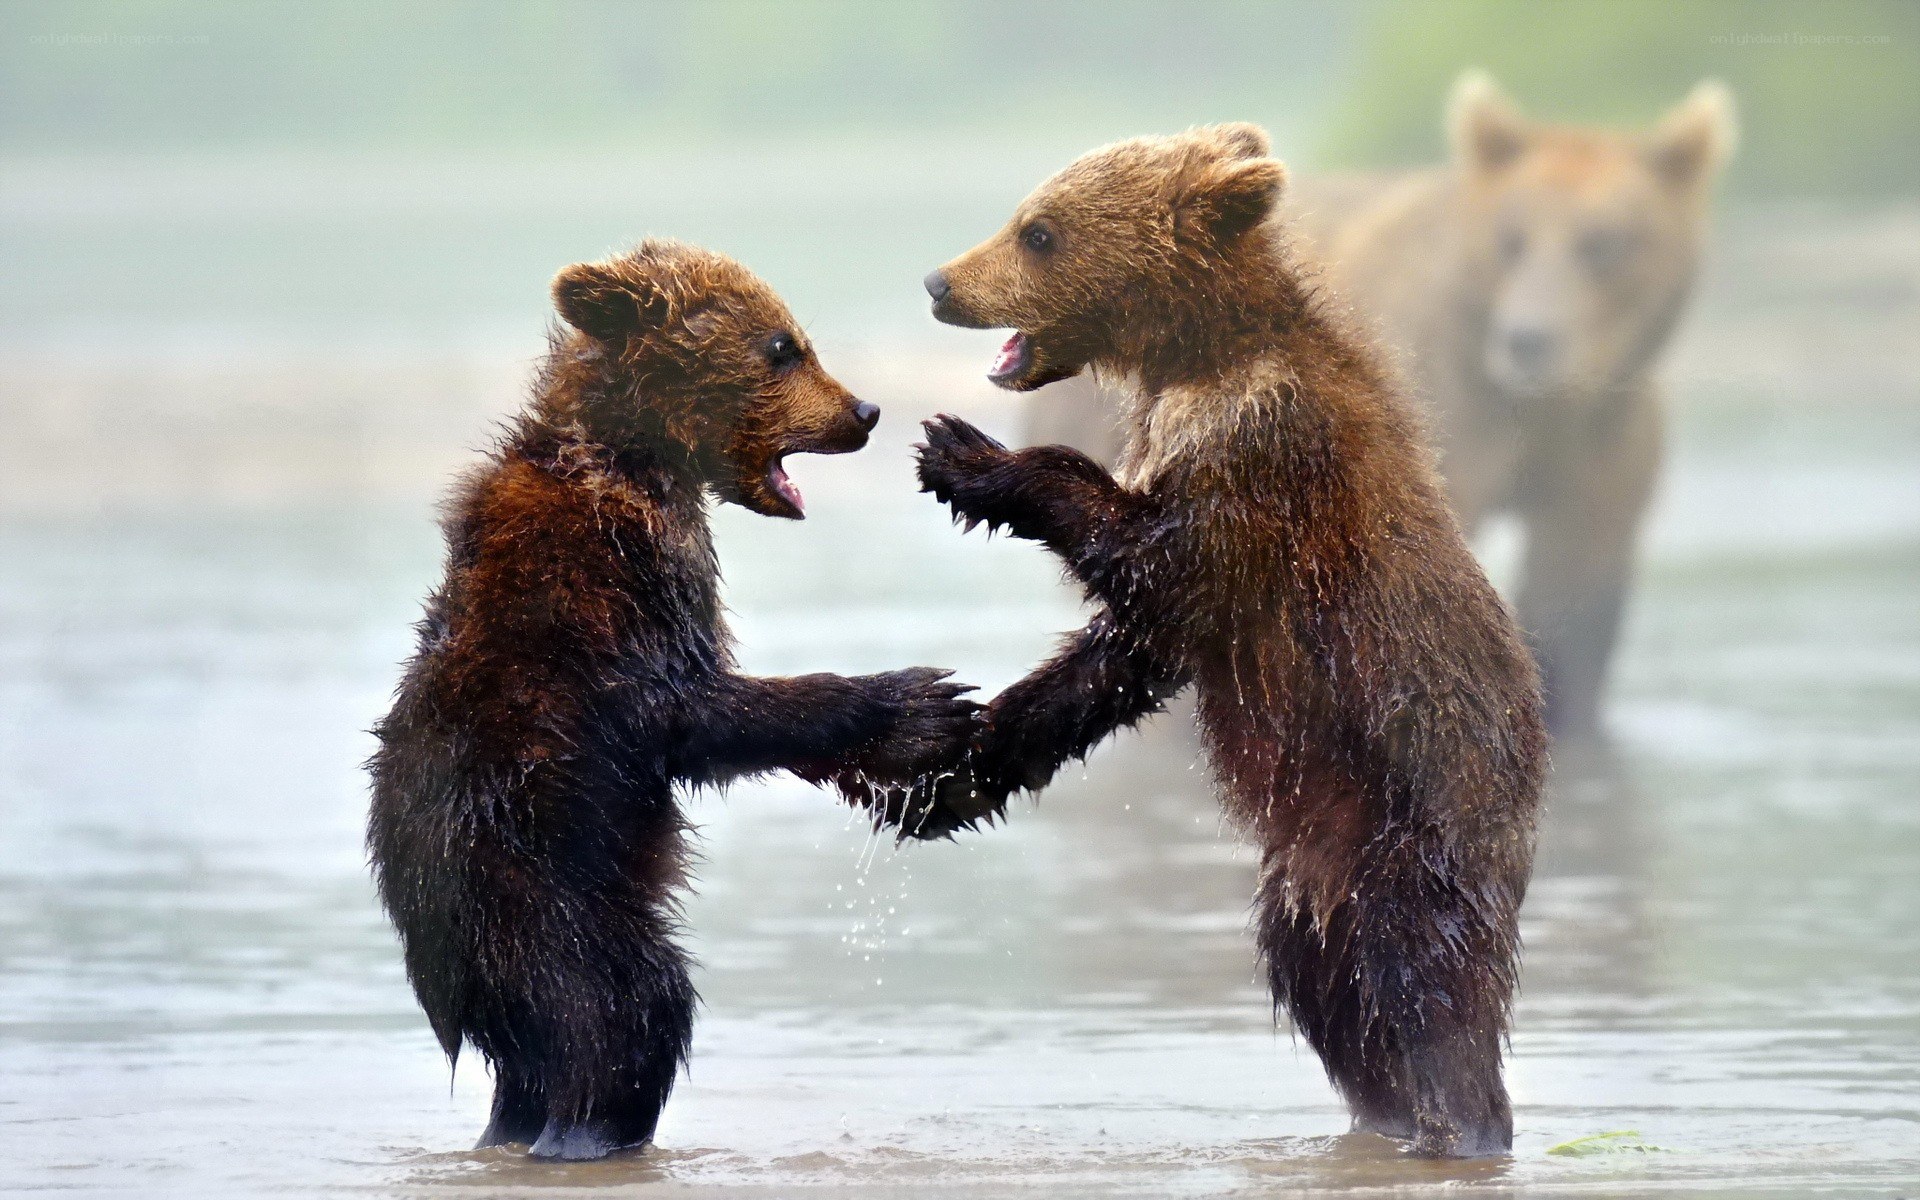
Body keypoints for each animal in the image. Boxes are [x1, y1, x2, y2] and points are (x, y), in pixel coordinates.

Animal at [366, 240, 978, 1161]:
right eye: (781, 346)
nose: (865, 410)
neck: (636, 459)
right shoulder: (610, 590)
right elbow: (693, 714)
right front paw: (917, 702)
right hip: (537, 881)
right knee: (624, 1009)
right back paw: (589, 1128)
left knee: (533, 1064)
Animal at [909, 124, 1547, 1157]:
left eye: (1038, 231)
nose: (939, 282)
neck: (1196, 357)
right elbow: (1124, 652)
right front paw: (953, 770)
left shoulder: (1259, 453)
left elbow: (1158, 563)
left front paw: (967, 456)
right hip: (1311, 880)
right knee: (1332, 995)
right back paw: (1384, 1112)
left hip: (1415, 833)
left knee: (1425, 994)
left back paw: (1455, 1122)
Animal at [1025, 76, 1735, 738]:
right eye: (1511, 238)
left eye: (1605, 242)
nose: (1531, 341)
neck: (1536, 409)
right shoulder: (1446, 424)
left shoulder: (1602, 447)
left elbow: (1576, 592)